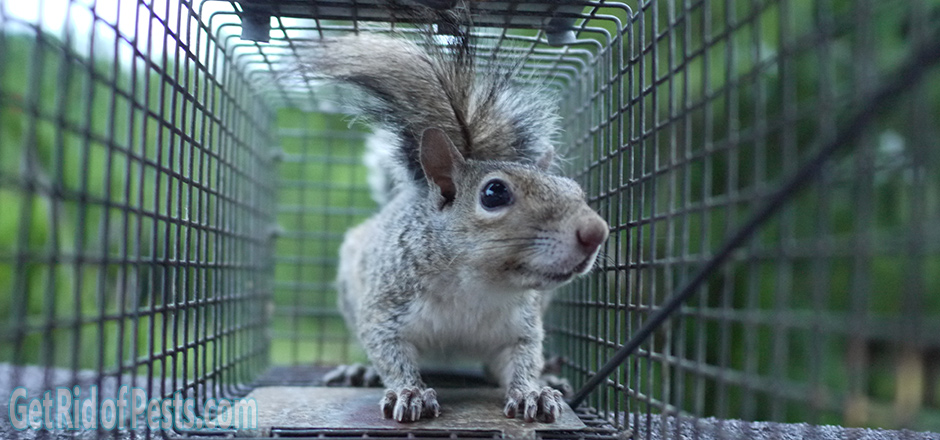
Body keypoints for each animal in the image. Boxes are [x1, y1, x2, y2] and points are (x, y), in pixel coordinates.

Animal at [304, 31, 609, 423]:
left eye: (575, 189)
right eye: (494, 193)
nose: (596, 232)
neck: (477, 286)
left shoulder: (521, 328)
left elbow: (524, 360)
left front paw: (532, 391)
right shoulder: (385, 309)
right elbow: (390, 352)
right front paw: (409, 391)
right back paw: (361, 371)